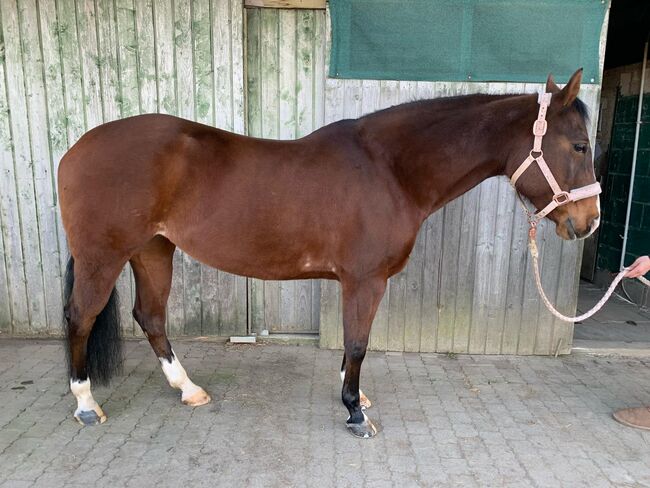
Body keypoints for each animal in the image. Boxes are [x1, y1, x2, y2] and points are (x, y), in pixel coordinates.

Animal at [60, 69, 596, 438]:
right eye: (580, 145)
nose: (587, 222)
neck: (390, 169)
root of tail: (75, 149)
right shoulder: (366, 279)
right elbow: (358, 343)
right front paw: (355, 413)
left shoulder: (357, 282)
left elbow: (351, 343)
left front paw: (357, 396)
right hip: (104, 256)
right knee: (80, 317)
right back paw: (85, 405)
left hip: (153, 249)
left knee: (150, 316)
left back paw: (188, 389)